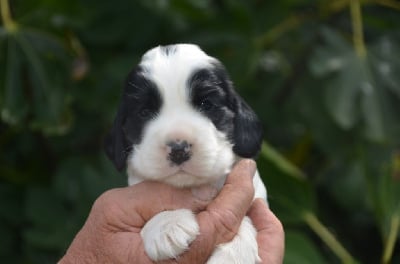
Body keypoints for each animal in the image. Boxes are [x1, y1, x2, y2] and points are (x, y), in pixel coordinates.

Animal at [104, 44, 268, 262]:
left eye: (206, 104)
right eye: (144, 112)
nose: (179, 148)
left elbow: (244, 215)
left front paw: (233, 254)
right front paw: (167, 224)